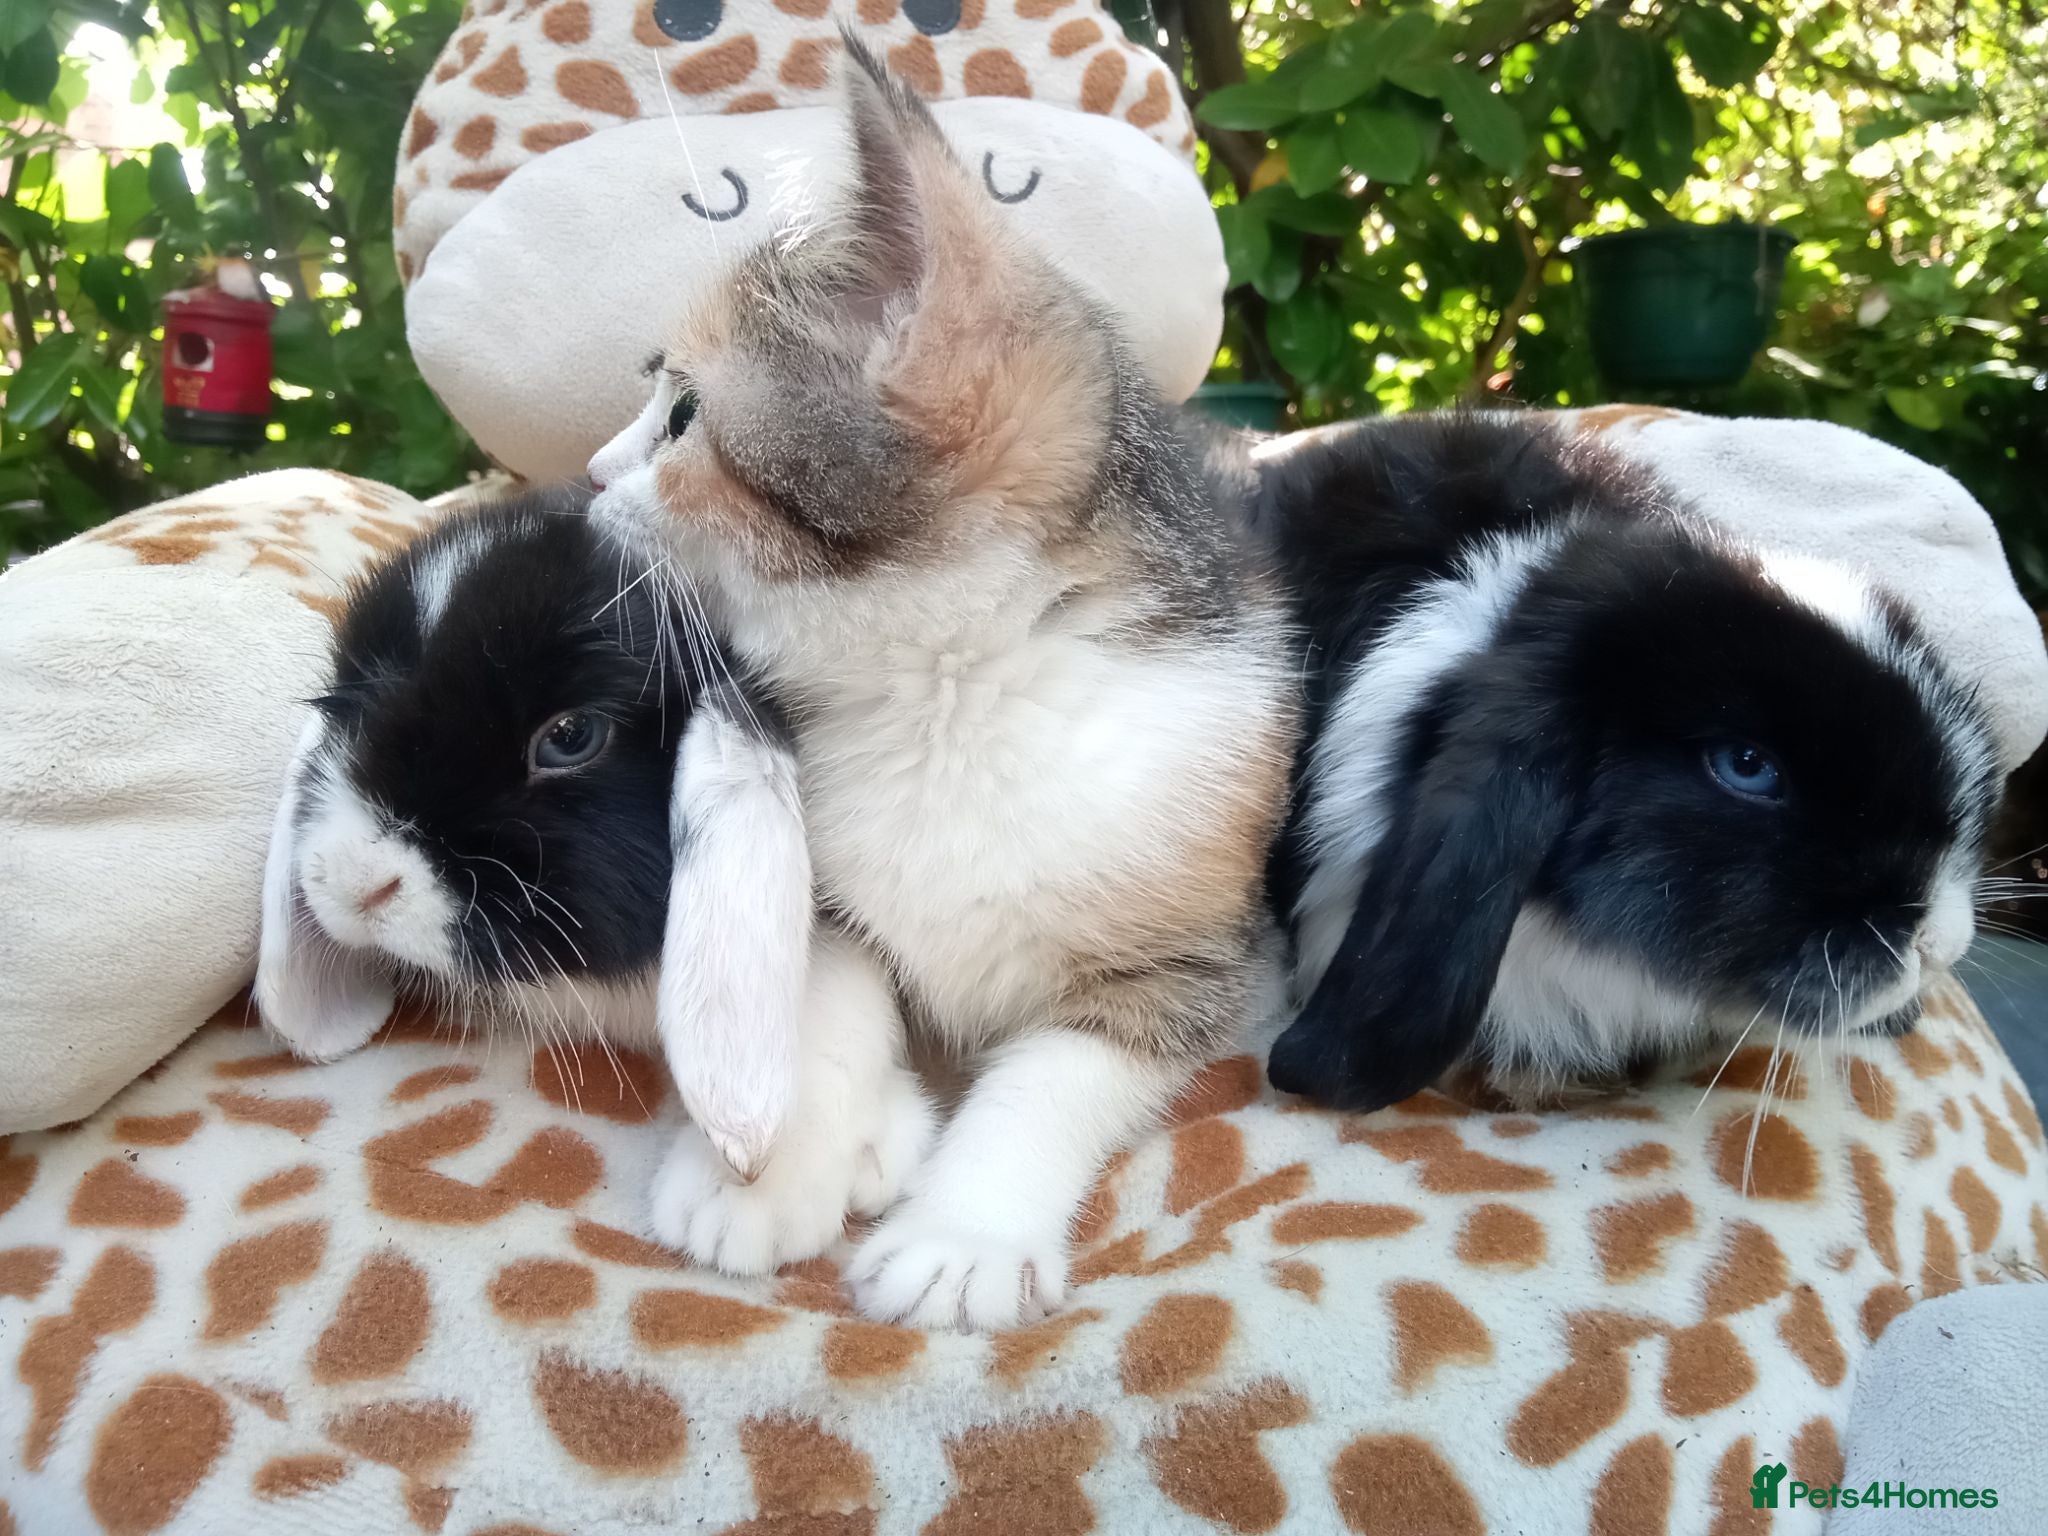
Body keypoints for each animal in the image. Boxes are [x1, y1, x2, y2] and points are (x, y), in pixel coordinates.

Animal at [588, 42, 1297, 1330]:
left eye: (682, 416)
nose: (589, 471)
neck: (945, 689)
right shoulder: (828, 891)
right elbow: (826, 996)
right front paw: (772, 1178)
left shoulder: (1197, 954)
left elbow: (1060, 1072)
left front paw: (961, 1236)